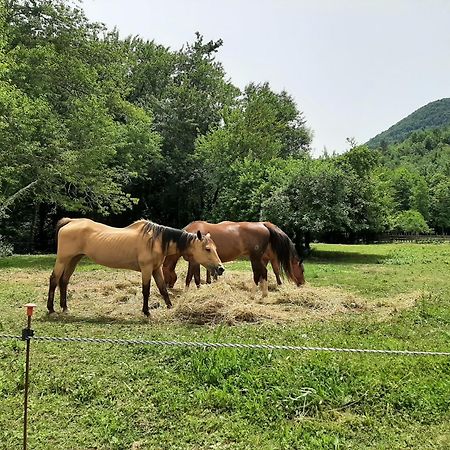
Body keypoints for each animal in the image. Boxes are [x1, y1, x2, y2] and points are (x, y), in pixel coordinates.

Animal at [48, 218, 225, 316]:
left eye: (216, 247)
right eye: (207, 249)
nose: (220, 268)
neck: (156, 240)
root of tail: (70, 222)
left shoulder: (156, 269)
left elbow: (162, 289)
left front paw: (170, 306)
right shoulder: (146, 269)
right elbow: (146, 290)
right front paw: (146, 312)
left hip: (73, 260)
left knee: (64, 281)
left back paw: (65, 308)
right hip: (63, 260)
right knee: (54, 280)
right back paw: (51, 309)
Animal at [163, 221, 306, 298]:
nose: (167, 286)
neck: (191, 238)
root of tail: (263, 225)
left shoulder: (194, 262)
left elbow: (190, 277)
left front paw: (187, 292)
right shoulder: (196, 262)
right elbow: (196, 277)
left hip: (255, 258)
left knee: (260, 273)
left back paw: (254, 295)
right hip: (258, 258)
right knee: (262, 273)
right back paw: (263, 294)